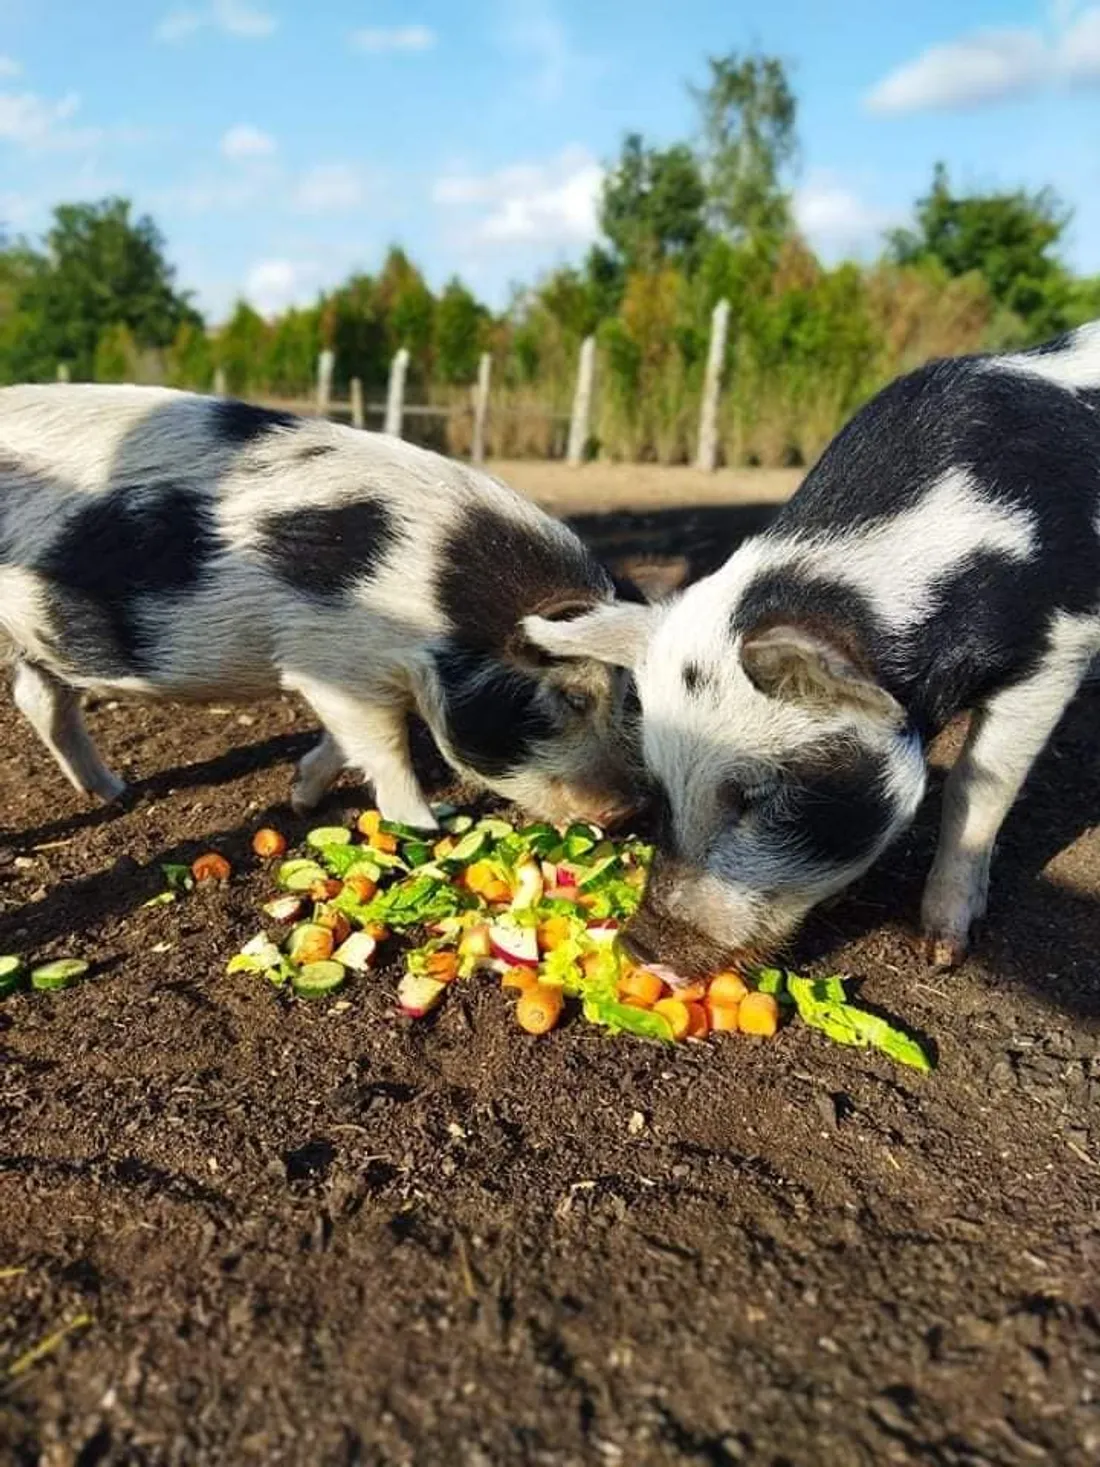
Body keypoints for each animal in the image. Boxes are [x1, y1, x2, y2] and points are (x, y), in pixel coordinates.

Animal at [0, 384, 641, 829]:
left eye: (625, 700)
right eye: (573, 697)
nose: (624, 811)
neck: (432, 590)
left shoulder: (350, 675)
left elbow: (345, 741)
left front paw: (301, 799)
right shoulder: (332, 659)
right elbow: (385, 751)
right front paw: (426, 827)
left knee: (39, 698)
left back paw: (116, 793)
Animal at [525, 321, 1100, 972]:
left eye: (758, 795)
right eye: (659, 782)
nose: (639, 946)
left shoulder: (1059, 649)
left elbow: (976, 786)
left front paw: (939, 951)